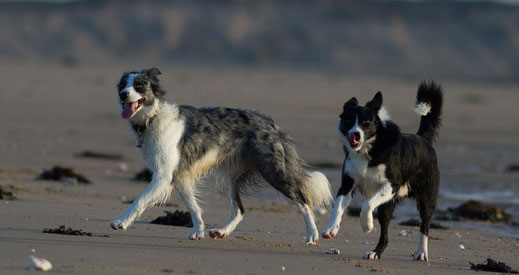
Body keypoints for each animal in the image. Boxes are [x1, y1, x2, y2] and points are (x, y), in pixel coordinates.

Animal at [109, 68, 334, 245]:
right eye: (122, 85)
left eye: (139, 85)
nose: (123, 95)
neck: (153, 117)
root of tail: (270, 123)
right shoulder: (180, 176)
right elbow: (193, 207)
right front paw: (198, 232)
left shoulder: (164, 175)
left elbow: (139, 200)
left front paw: (120, 222)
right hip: (228, 179)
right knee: (239, 210)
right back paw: (222, 231)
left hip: (273, 170)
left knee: (304, 200)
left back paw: (312, 235)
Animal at [322, 81, 444, 260]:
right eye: (349, 120)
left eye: (366, 122)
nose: (355, 135)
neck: (368, 149)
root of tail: (423, 139)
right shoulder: (347, 184)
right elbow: (338, 206)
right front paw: (331, 229)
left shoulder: (391, 185)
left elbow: (367, 203)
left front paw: (366, 225)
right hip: (387, 206)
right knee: (385, 235)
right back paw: (375, 252)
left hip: (426, 197)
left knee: (425, 226)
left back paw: (421, 252)